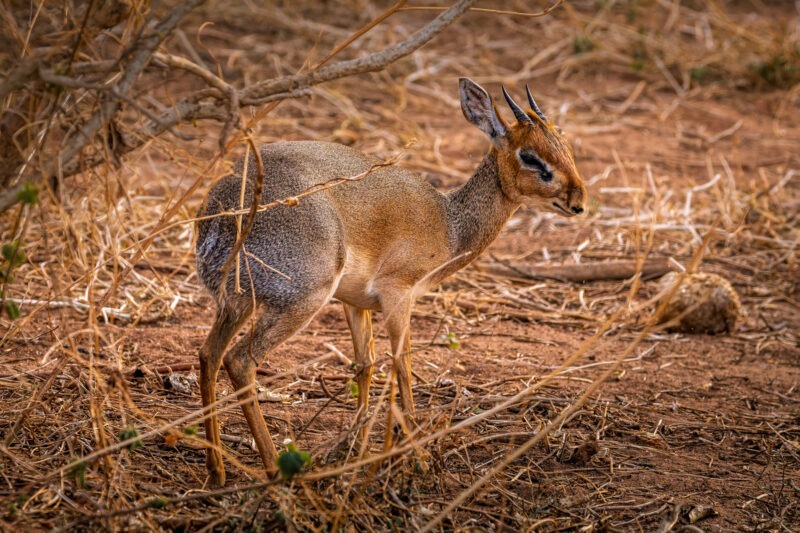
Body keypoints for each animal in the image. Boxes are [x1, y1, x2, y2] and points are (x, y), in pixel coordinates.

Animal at [191, 77, 584, 484]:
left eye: (565, 147)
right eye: (531, 157)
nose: (579, 201)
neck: (450, 224)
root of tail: (219, 213)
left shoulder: (354, 303)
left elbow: (365, 366)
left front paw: (356, 448)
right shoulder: (399, 295)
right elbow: (403, 366)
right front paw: (419, 459)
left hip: (238, 303)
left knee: (209, 354)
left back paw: (217, 469)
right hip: (300, 300)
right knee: (240, 361)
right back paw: (275, 469)